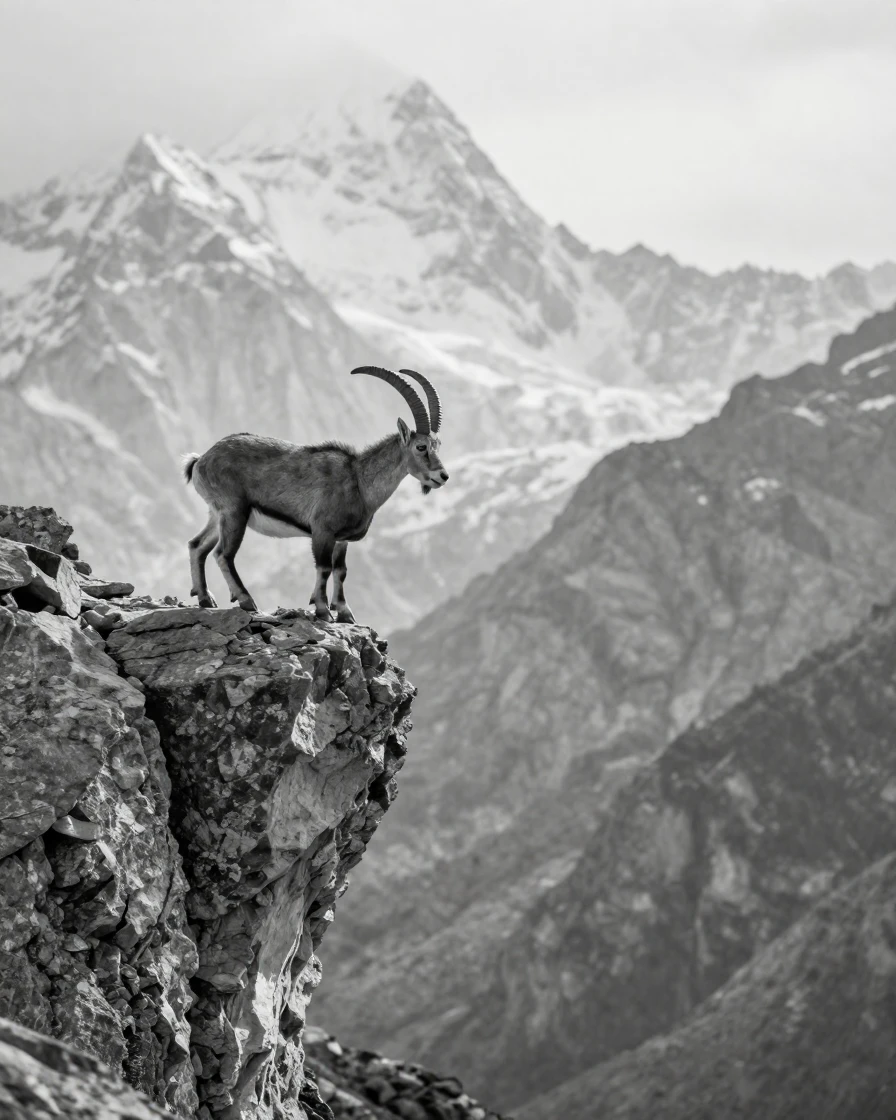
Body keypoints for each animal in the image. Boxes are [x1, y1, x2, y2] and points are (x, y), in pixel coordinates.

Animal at [182, 366, 449, 622]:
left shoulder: (341, 539)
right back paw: (246, 600)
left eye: (438, 445)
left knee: (197, 545)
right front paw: (322, 610)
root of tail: (200, 460)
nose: (443, 476)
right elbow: (323, 568)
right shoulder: (322, 531)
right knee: (223, 554)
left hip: (217, 514)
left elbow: (341, 571)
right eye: (421, 447)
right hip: (235, 512)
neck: (359, 481)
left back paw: (205, 598)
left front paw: (344, 613)